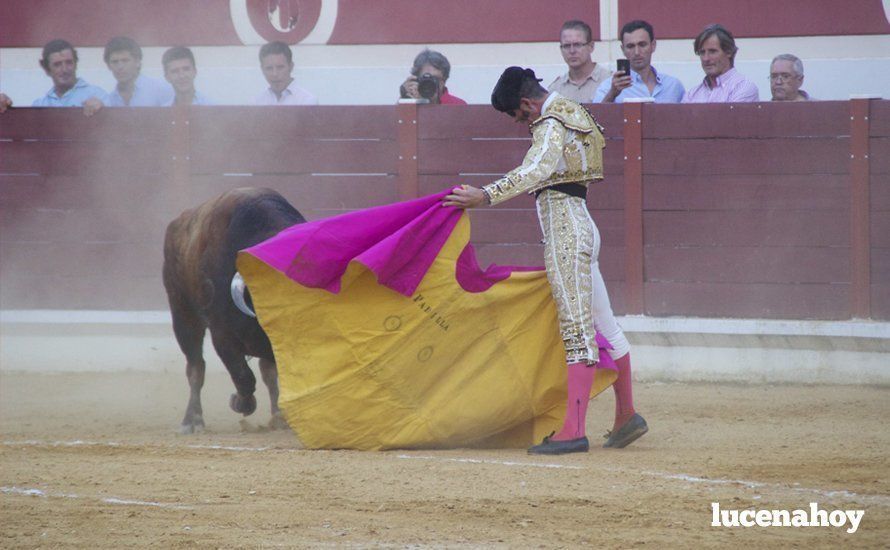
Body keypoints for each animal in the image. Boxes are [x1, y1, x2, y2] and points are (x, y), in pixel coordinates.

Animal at [163, 190, 306, 436]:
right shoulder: (222, 336)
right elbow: (243, 376)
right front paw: (239, 403)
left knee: (267, 373)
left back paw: (278, 417)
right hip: (183, 316)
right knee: (196, 369)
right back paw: (192, 421)